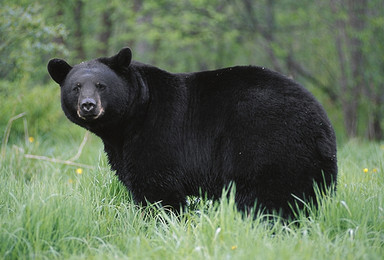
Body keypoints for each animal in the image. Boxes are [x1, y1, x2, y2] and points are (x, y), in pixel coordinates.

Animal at [47, 47, 336, 217]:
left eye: (101, 85)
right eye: (76, 87)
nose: (88, 105)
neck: (129, 122)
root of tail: (322, 123)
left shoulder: (158, 135)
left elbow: (156, 189)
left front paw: (158, 221)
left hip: (268, 144)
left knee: (270, 197)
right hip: (310, 162)